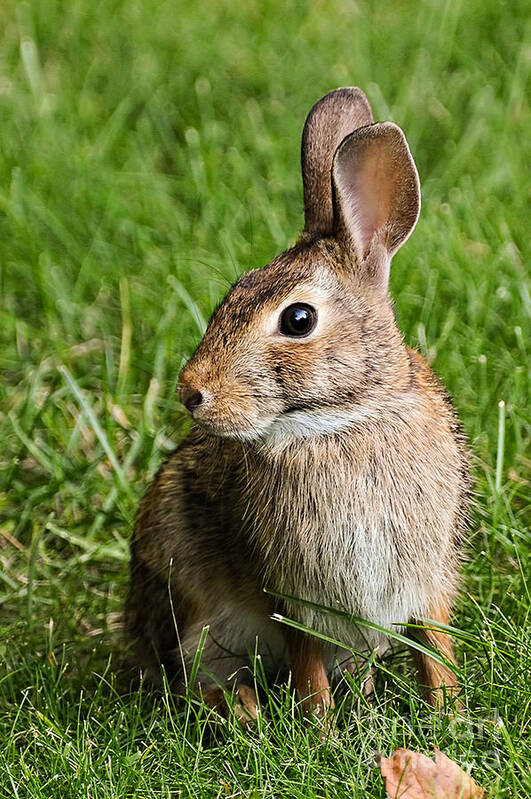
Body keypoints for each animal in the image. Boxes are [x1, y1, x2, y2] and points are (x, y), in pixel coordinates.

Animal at [125, 87, 474, 724]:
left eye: (298, 319)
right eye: (233, 292)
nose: (191, 391)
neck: (344, 422)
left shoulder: (425, 576)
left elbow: (434, 647)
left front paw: (448, 715)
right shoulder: (291, 592)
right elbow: (307, 660)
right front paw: (321, 729)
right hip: (195, 609)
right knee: (197, 677)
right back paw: (244, 711)